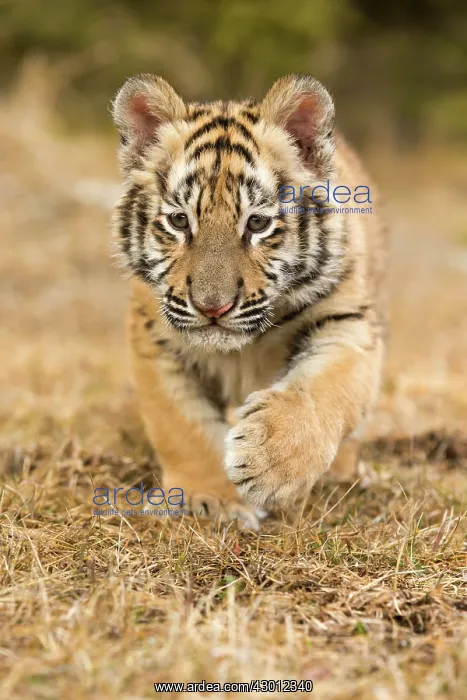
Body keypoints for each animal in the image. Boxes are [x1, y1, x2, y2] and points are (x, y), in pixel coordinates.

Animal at [111, 73, 388, 530]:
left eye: (257, 223)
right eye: (180, 221)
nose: (212, 307)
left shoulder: (347, 322)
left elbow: (323, 391)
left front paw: (270, 463)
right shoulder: (154, 338)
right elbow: (179, 424)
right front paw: (213, 499)